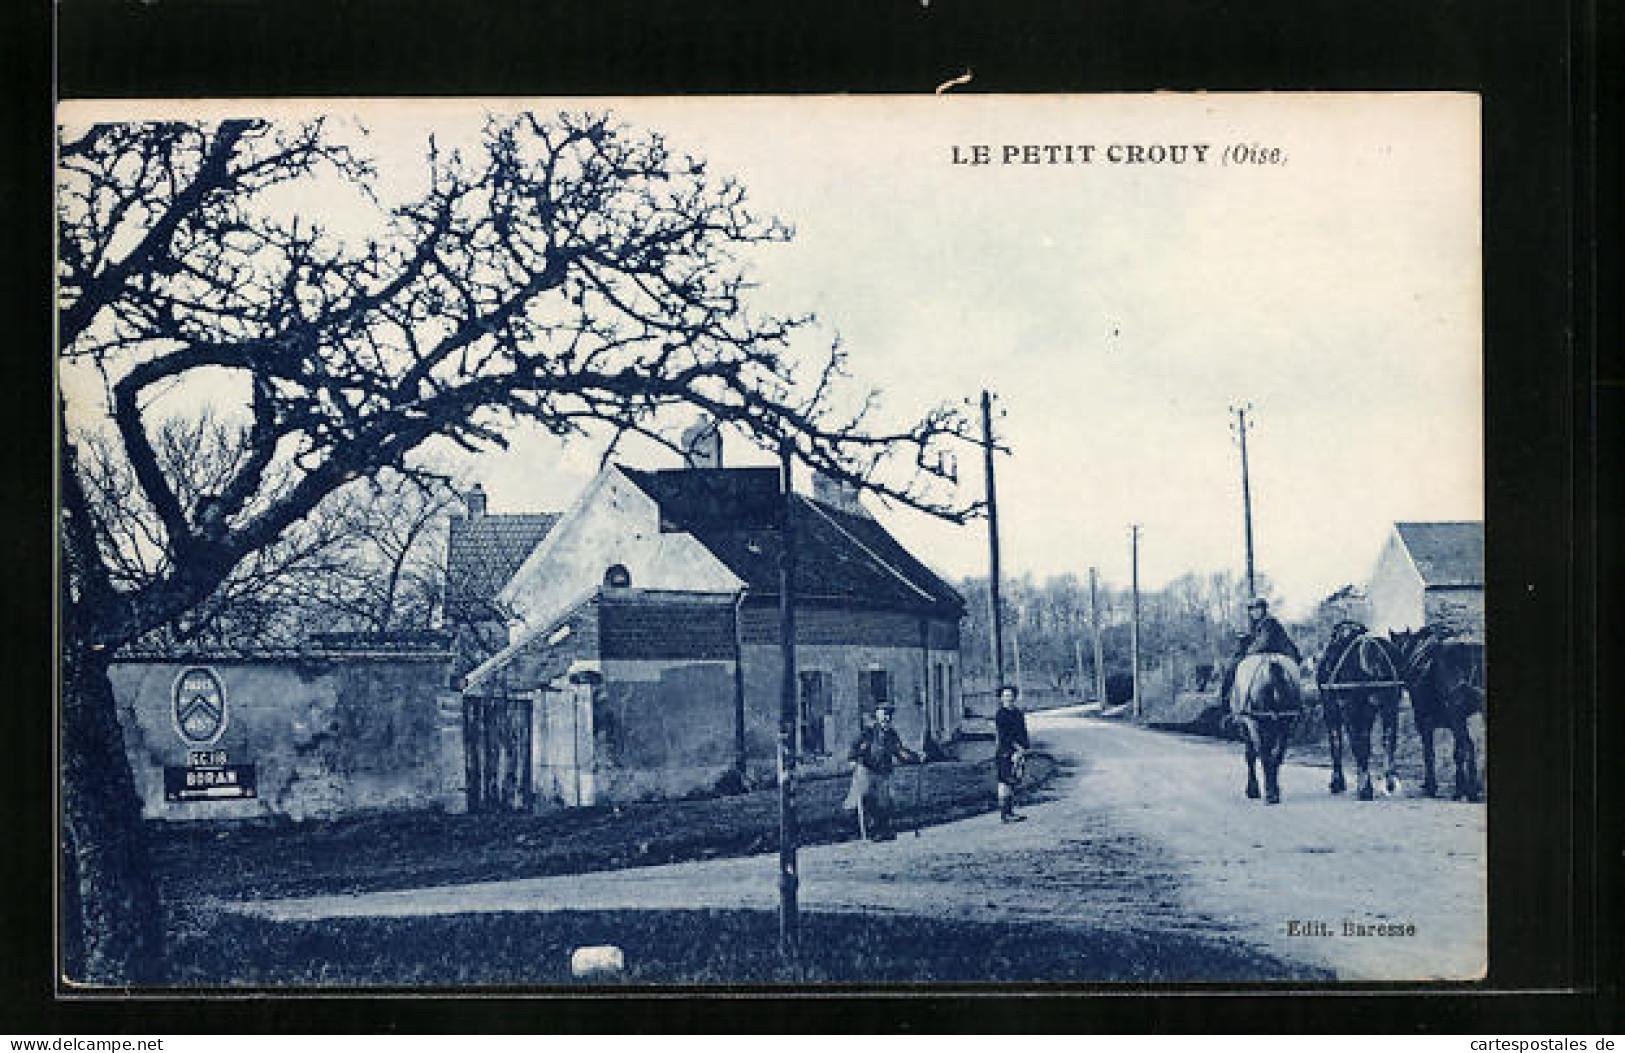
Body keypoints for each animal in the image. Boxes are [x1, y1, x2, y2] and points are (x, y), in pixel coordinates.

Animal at [1228, 656, 1306, 806]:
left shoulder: (1246, 725)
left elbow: (1251, 755)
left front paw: (1252, 789)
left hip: (1254, 723)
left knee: (1262, 754)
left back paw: (1269, 793)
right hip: (1283, 724)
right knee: (1276, 755)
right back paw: (1273, 791)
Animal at [1313, 620, 1404, 802]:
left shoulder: (1333, 709)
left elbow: (1337, 742)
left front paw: (1338, 783)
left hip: (1351, 710)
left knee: (1359, 744)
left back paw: (1365, 789)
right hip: (1389, 707)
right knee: (1389, 739)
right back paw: (1390, 781)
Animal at [1384, 624, 1488, 799]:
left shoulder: (1425, 722)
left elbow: (1429, 753)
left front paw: (1431, 786)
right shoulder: (1452, 722)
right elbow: (1456, 754)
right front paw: (1460, 787)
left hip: (1456, 715)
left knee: (1468, 746)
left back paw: (1472, 790)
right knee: (1467, 747)